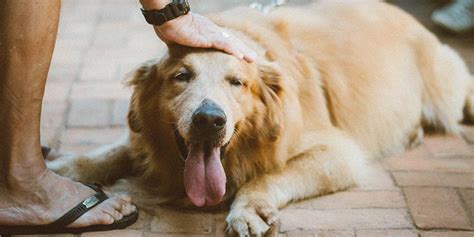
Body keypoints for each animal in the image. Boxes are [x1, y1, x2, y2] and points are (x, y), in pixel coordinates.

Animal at [46, 0, 472, 236]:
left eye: (237, 82)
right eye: (181, 76)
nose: (209, 120)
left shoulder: (339, 153)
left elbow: (270, 174)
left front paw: (249, 208)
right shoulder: (146, 140)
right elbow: (112, 151)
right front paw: (64, 168)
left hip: (449, 91)